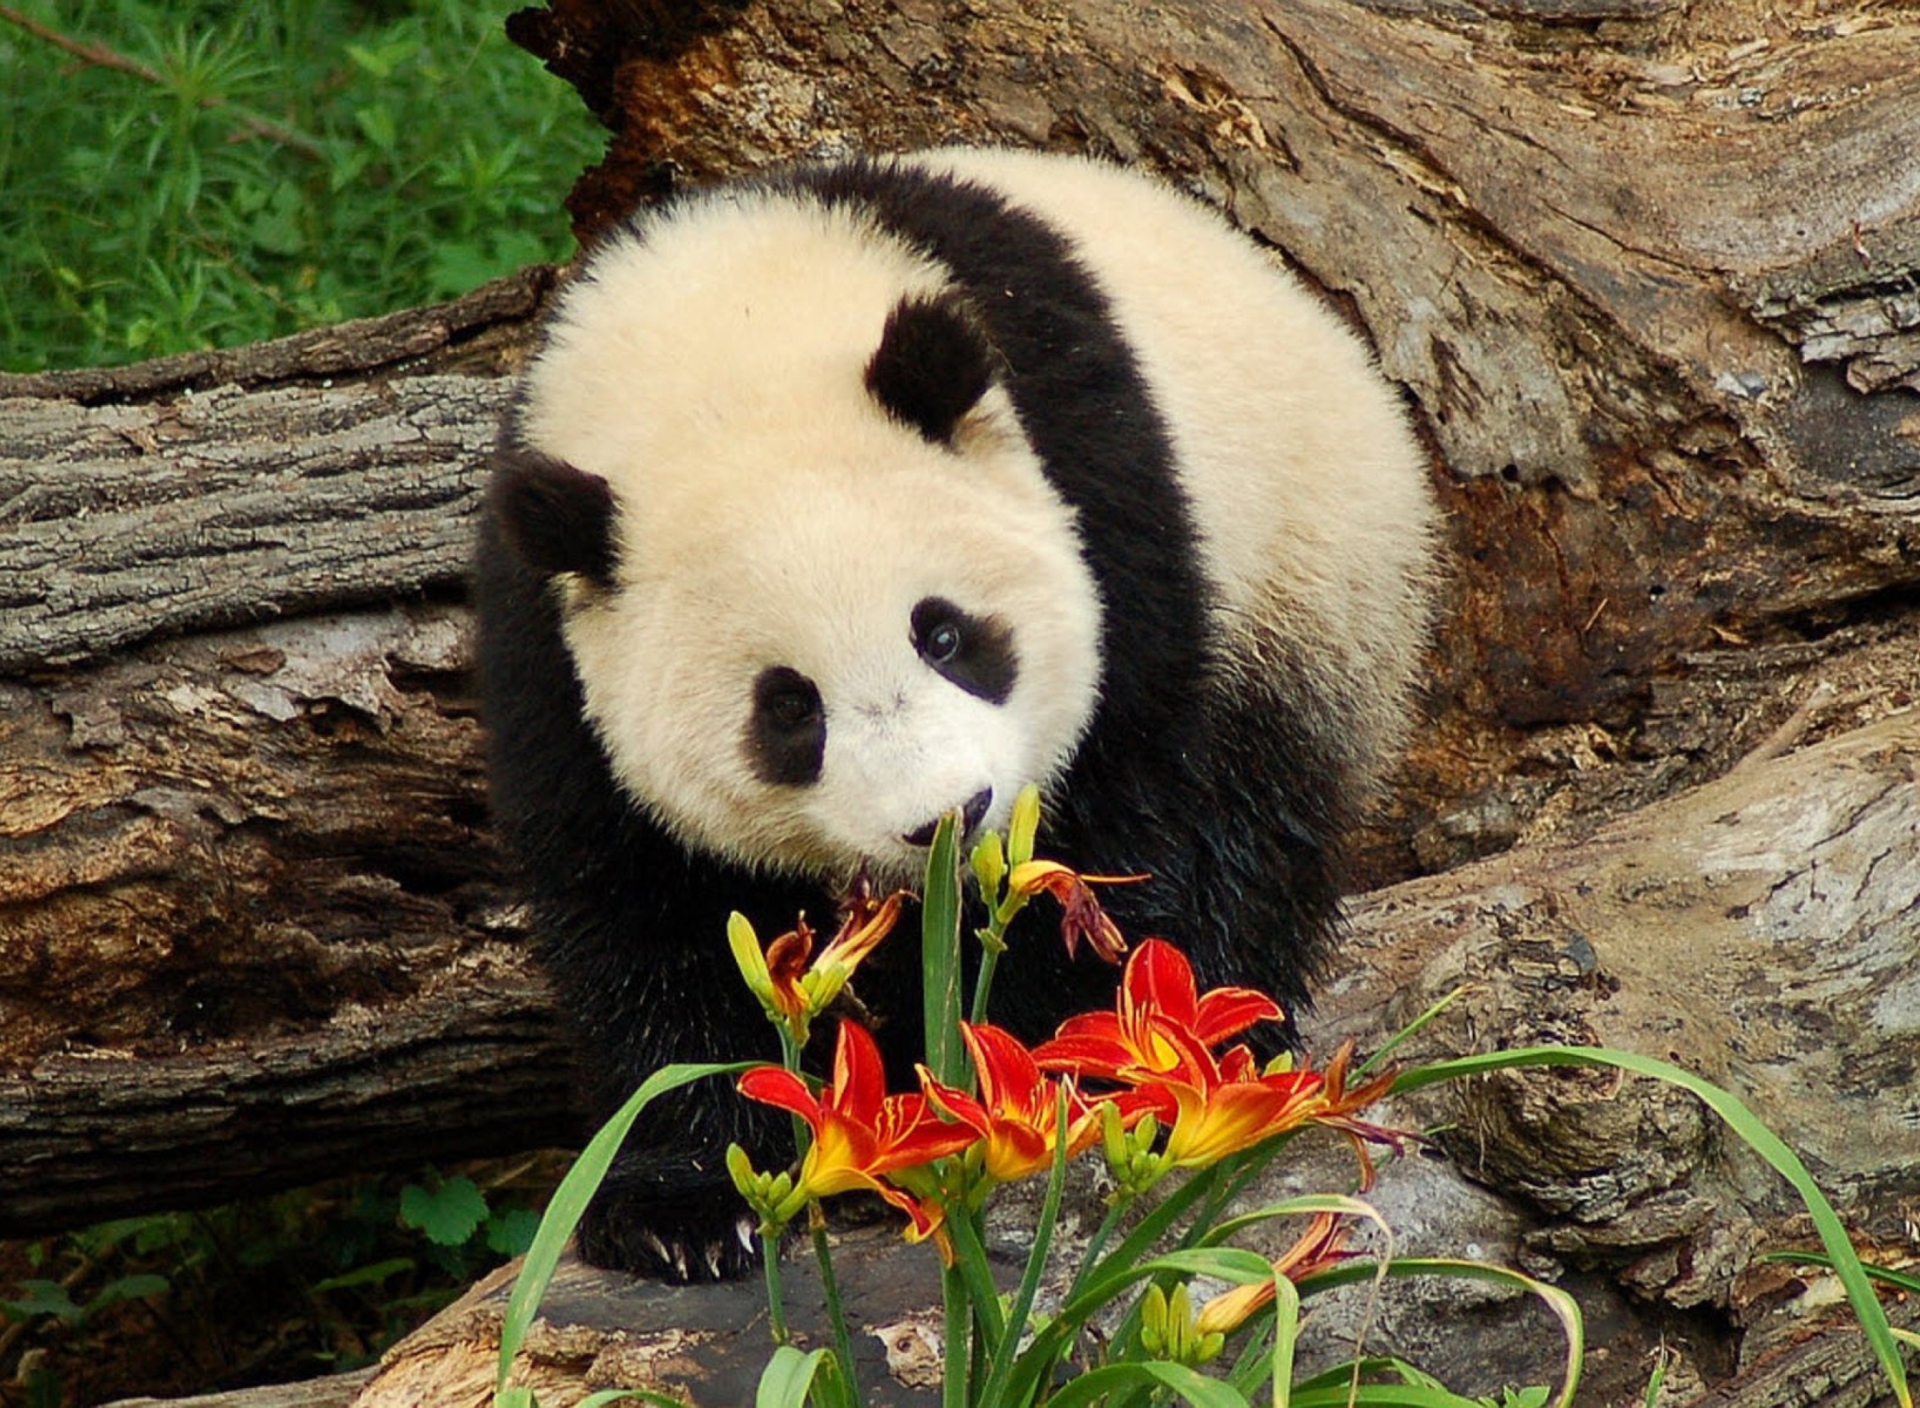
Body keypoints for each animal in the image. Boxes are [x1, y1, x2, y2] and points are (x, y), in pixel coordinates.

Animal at [476, 147, 1443, 1283]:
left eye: (942, 634)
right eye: (788, 709)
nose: (947, 817)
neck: (727, 340)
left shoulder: (1105, 491)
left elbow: (1121, 813)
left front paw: (1024, 1082)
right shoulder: (543, 636)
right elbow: (637, 900)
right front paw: (686, 1207)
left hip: (1304, 573)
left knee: (1254, 815)